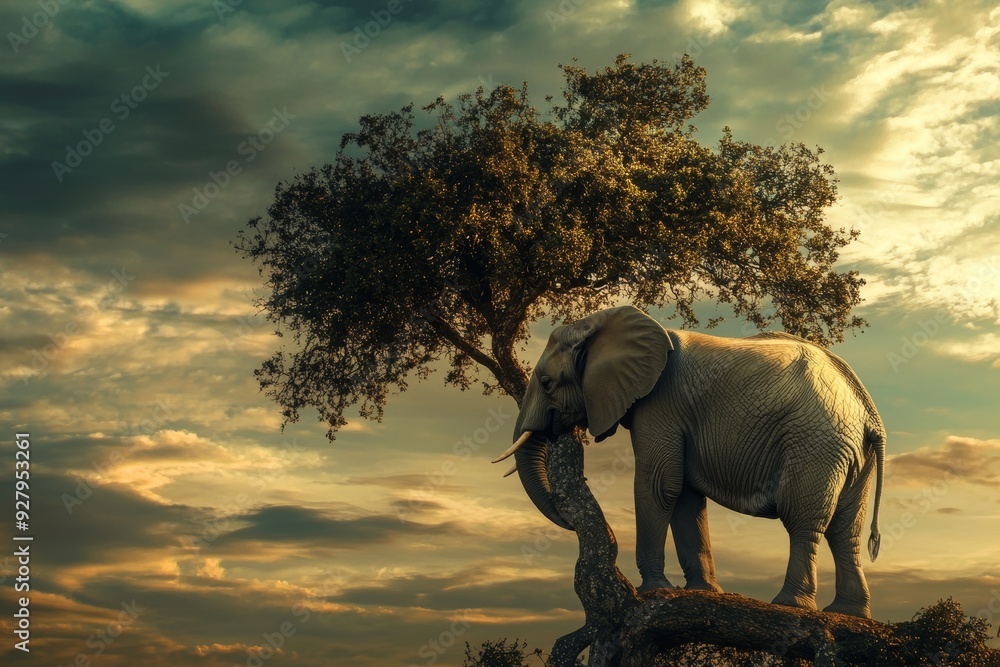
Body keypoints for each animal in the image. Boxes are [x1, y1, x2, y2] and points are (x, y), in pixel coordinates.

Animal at [495, 305, 885, 618]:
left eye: (547, 383)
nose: (568, 519)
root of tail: (869, 413)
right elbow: (684, 494)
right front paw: (701, 592)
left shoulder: (660, 403)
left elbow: (658, 484)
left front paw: (652, 590)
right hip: (849, 453)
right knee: (845, 529)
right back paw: (849, 613)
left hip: (815, 442)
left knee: (803, 520)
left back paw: (790, 605)